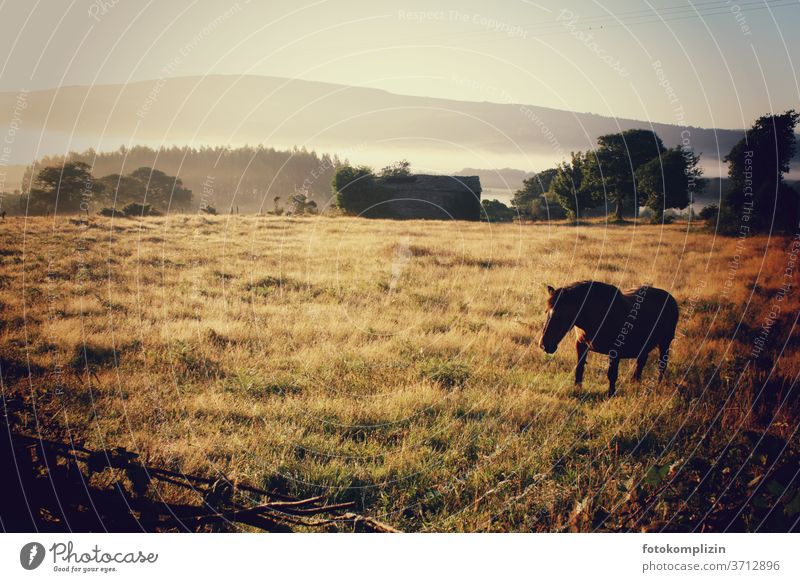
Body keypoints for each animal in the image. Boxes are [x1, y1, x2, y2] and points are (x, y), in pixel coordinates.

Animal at [540, 282, 680, 396]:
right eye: (546, 312)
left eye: (561, 315)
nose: (544, 345)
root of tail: (671, 299)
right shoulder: (581, 345)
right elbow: (579, 369)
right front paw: (577, 391)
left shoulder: (615, 350)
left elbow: (612, 375)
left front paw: (610, 395)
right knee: (641, 364)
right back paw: (635, 385)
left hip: (665, 343)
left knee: (662, 366)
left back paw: (656, 387)